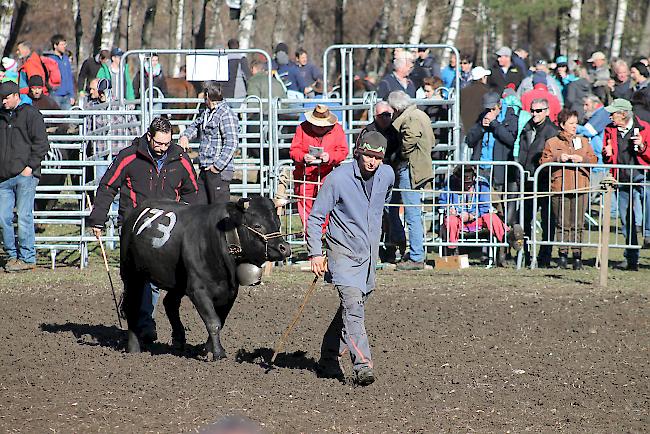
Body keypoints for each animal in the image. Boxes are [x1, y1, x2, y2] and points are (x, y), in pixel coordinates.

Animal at [119, 197, 292, 360]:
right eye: (257, 225)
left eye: (277, 223)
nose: (285, 248)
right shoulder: (198, 290)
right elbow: (213, 322)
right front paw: (218, 354)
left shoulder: (230, 292)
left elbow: (220, 321)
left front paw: (207, 350)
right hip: (131, 273)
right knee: (132, 307)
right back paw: (134, 348)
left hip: (177, 281)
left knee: (170, 304)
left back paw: (179, 340)